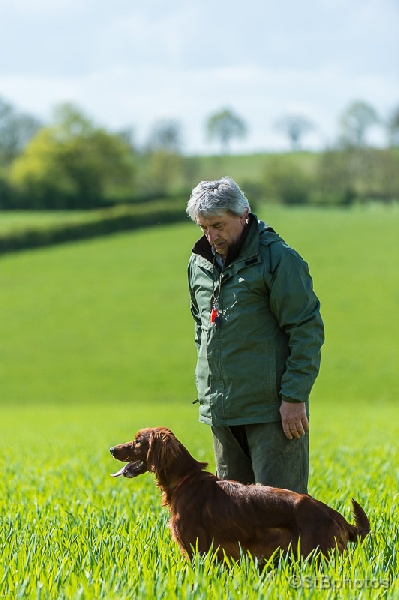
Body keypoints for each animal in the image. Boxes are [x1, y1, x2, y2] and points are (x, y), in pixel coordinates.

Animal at [110, 426, 372, 564]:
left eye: (137, 441)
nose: (112, 449)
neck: (185, 480)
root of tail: (334, 515)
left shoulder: (196, 550)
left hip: (319, 556)